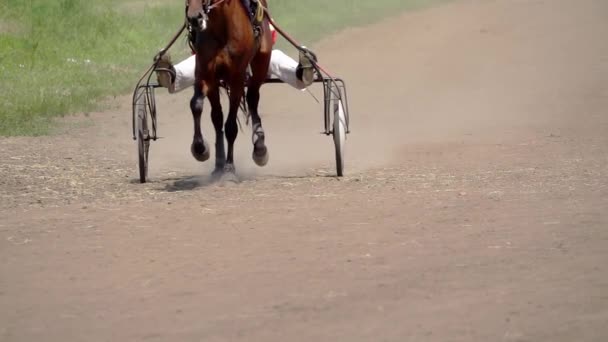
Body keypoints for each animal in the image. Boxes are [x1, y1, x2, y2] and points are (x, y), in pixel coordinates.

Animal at [185, 0, 270, 176]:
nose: (195, 18)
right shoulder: (206, 74)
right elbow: (196, 105)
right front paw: (200, 148)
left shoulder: (236, 78)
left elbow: (231, 126)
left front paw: (230, 167)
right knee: (217, 117)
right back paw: (218, 163)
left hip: (261, 65)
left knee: (252, 98)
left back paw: (259, 147)